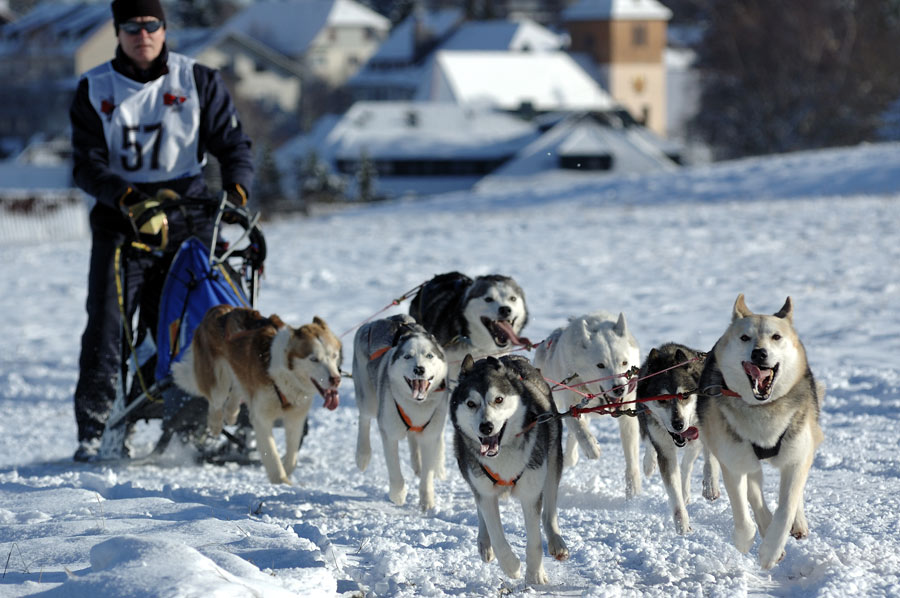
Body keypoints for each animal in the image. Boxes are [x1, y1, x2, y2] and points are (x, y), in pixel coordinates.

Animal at [174, 308, 342, 486]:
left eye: (334, 355)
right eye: (314, 359)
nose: (336, 379)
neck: (284, 375)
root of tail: (218, 309)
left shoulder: (295, 418)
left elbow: (292, 457)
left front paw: (286, 471)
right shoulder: (262, 418)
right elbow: (271, 453)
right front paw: (280, 480)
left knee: (236, 389)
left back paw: (231, 413)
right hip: (217, 382)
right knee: (215, 402)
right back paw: (215, 424)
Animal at [352, 314, 450, 510]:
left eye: (429, 355)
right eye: (407, 356)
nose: (419, 369)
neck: (417, 406)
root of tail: (389, 319)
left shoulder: (430, 436)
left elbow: (427, 474)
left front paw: (427, 502)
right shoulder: (389, 434)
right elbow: (394, 467)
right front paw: (397, 494)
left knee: (417, 441)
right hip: (368, 400)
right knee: (364, 419)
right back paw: (362, 454)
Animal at [454, 356, 568, 584]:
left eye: (498, 399)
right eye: (471, 404)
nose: (486, 427)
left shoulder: (530, 493)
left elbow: (534, 540)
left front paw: (535, 575)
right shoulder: (485, 492)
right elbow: (497, 536)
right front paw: (512, 567)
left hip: (552, 461)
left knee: (549, 510)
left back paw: (556, 541)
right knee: (481, 511)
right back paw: (484, 542)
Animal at [700, 296, 828, 572]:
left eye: (776, 337)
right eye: (745, 337)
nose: (759, 352)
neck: (763, 409)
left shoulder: (797, 458)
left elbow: (786, 507)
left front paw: (771, 550)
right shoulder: (735, 463)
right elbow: (743, 512)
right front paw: (746, 540)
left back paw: (797, 524)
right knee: (753, 492)